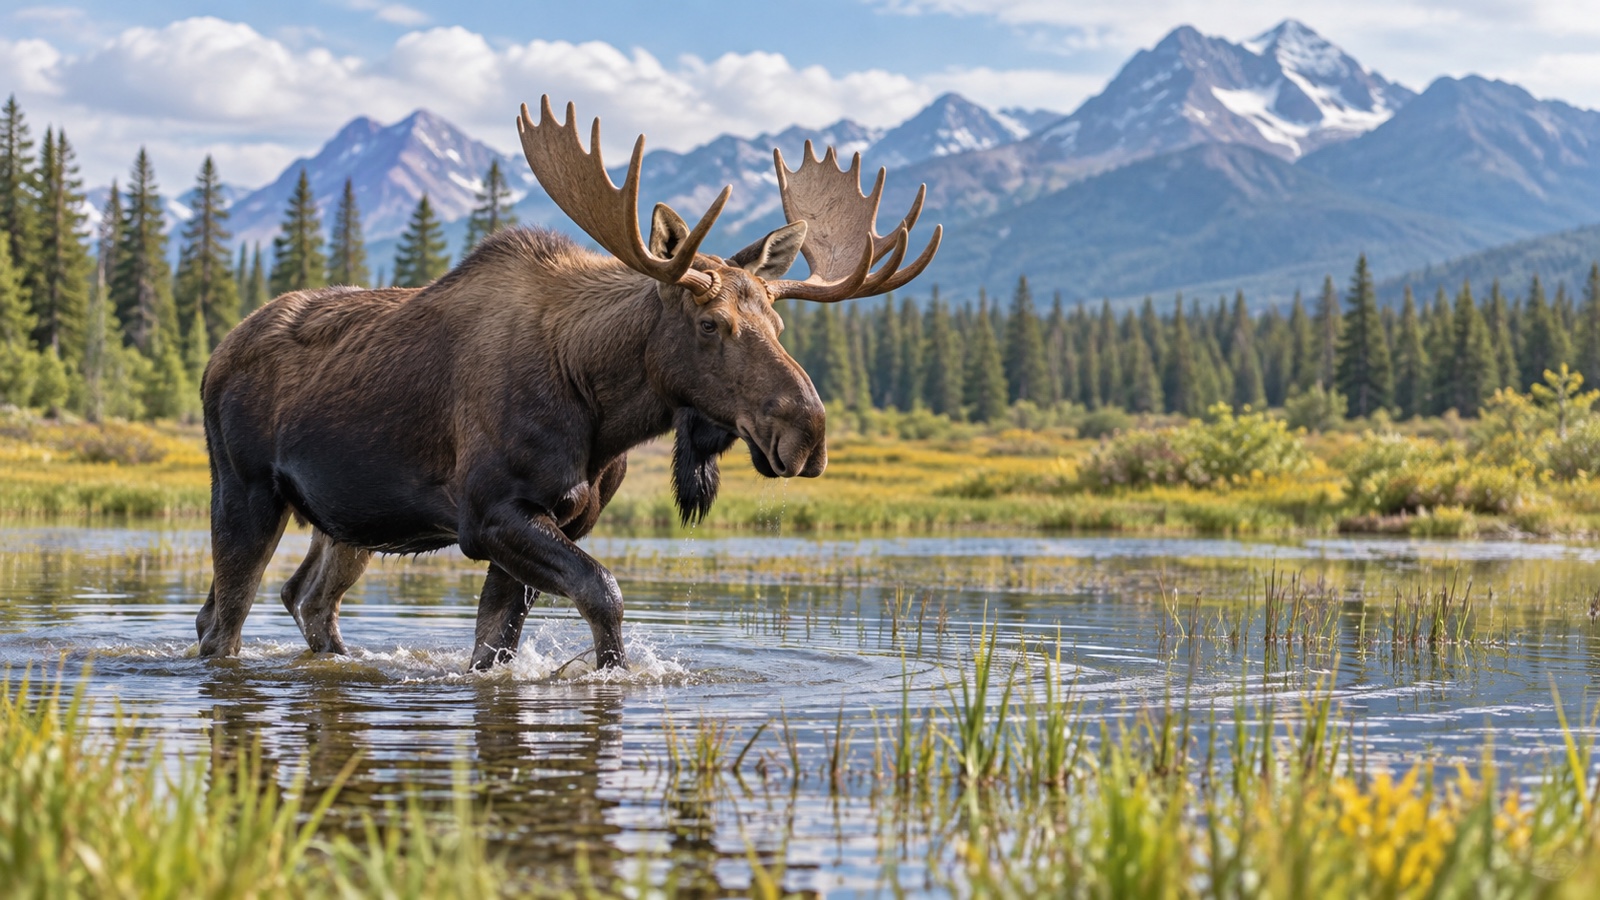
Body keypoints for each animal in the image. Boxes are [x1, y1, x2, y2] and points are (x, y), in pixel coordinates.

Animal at [196, 97, 940, 671]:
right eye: (710, 322)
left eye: (779, 325)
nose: (807, 432)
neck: (601, 409)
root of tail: (214, 357)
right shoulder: (490, 513)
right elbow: (604, 594)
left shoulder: (564, 518)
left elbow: (494, 646)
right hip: (245, 491)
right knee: (220, 621)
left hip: (345, 521)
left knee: (307, 598)